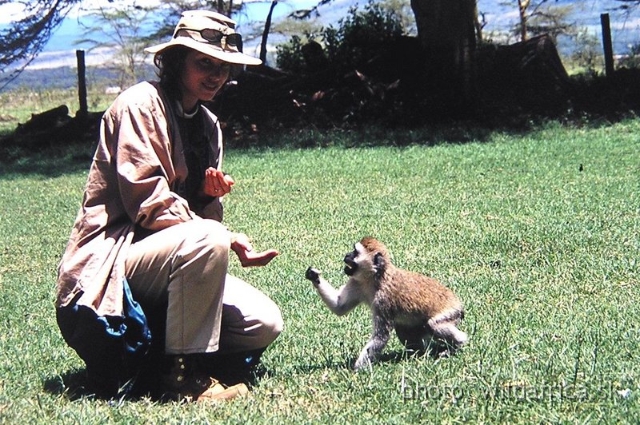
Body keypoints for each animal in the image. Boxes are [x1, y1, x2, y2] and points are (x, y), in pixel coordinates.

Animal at [304, 237, 464, 370]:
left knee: (434, 324)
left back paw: (459, 343)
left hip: (452, 312)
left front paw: (357, 369)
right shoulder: (356, 283)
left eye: (355, 252)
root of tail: (459, 304)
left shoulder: (383, 300)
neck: (375, 278)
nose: (346, 255)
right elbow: (339, 306)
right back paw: (421, 352)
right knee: (404, 330)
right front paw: (314, 276)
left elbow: (380, 337)